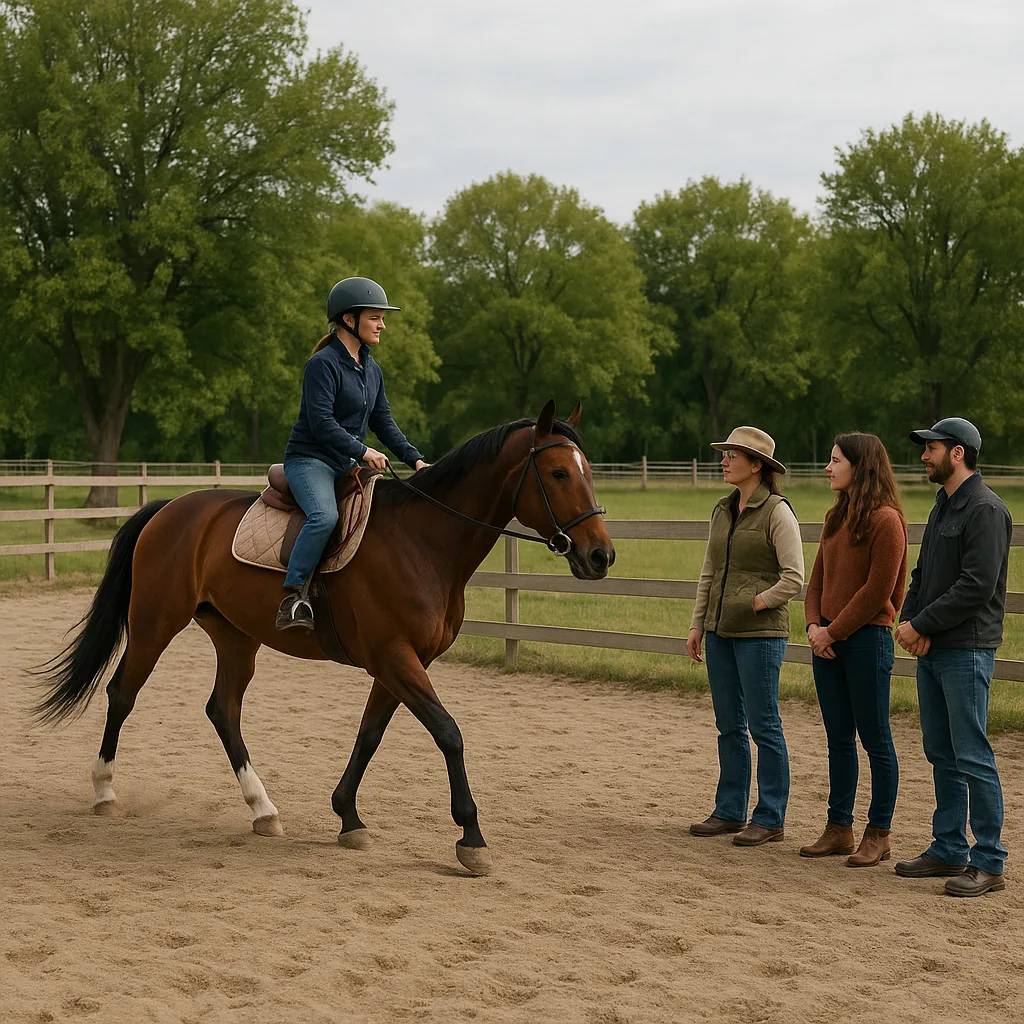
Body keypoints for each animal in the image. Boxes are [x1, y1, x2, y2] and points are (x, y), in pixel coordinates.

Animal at [35, 400, 615, 875]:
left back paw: (262, 809)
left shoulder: (400, 662)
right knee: (122, 694)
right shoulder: (395, 657)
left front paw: (348, 816)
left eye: (588, 473)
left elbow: (370, 734)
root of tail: (171, 507)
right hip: (156, 622)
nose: (600, 556)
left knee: (223, 710)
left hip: (236, 638)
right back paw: (104, 791)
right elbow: (448, 733)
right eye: (559, 472)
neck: (424, 541)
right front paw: (471, 837)